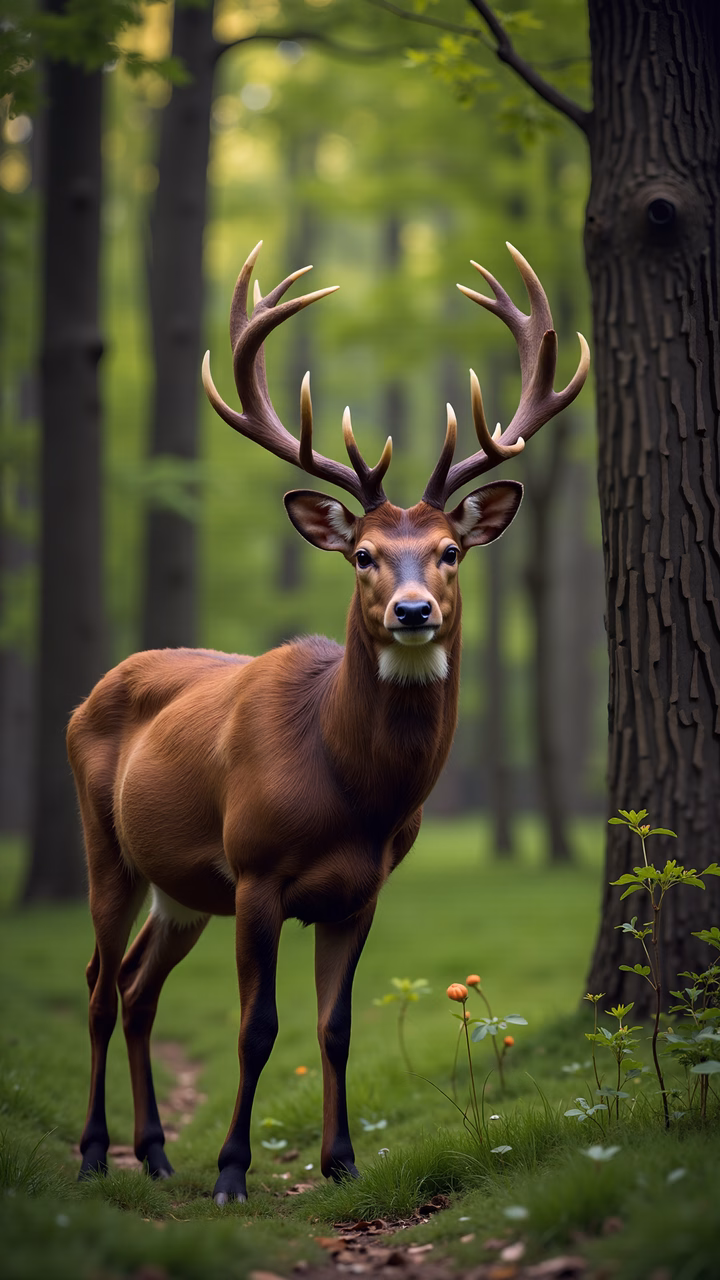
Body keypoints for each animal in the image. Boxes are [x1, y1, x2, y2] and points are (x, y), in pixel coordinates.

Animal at [68, 240, 589, 1204]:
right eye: (363, 556)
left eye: (451, 552)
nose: (415, 610)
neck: (351, 790)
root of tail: (96, 690)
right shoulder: (256, 872)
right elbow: (257, 1026)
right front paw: (233, 1172)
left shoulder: (360, 892)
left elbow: (334, 1027)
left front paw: (341, 1161)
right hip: (105, 843)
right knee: (94, 983)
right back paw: (94, 1153)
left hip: (181, 886)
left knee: (135, 987)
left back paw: (154, 1151)